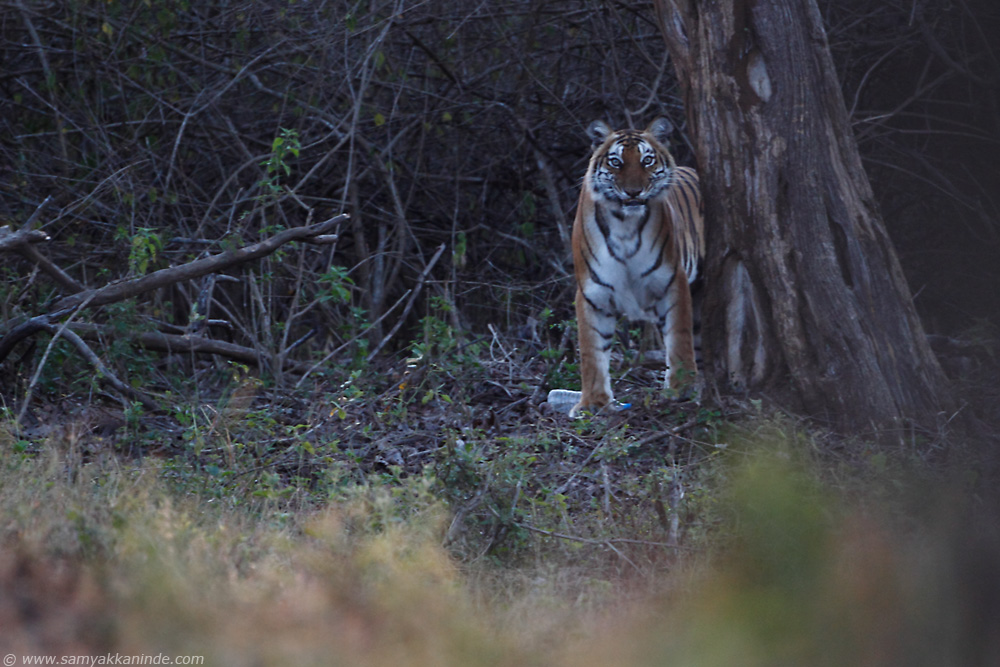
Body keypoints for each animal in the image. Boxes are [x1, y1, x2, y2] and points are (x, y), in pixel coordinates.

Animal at [568, 116, 708, 418]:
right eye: (616, 162)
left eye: (646, 160)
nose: (633, 192)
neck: (624, 225)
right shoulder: (592, 292)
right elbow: (591, 349)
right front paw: (592, 402)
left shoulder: (672, 281)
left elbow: (679, 336)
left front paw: (681, 388)